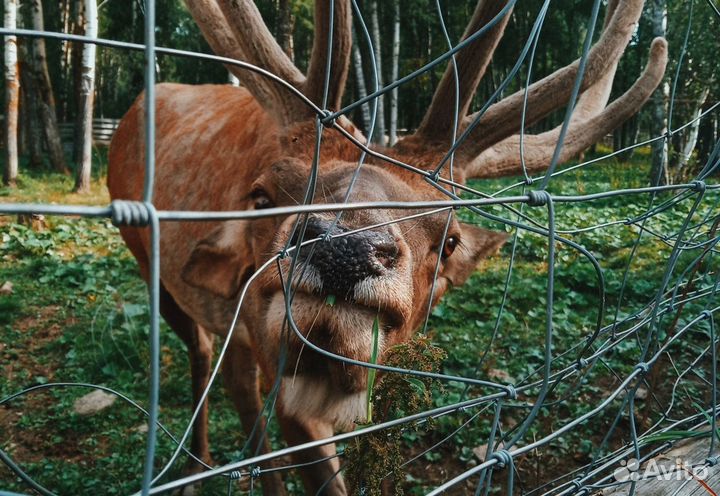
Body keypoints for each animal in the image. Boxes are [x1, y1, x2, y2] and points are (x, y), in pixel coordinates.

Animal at [108, 0, 668, 494]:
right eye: (262, 194)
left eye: (449, 240)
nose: (344, 248)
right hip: (150, 263)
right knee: (207, 357)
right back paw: (192, 467)